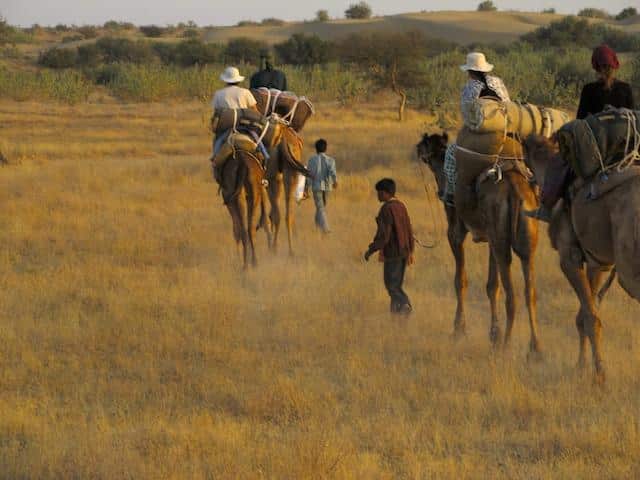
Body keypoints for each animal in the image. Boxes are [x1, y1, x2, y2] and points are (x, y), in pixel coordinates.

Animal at [418, 132, 544, 356]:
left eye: (426, 153)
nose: (441, 193)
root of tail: (515, 191)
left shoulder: (455, 231)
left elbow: (460, 280)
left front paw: (458, 330)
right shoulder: (490, 238)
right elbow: (492, 286)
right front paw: (493, 334)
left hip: (500, 236)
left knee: (512, 294)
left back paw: (507, 345)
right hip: (524, 233)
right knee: (529, 290)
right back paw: (534, 349)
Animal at [524, 136, 640, 382]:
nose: (524, 141)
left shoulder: (569, 257)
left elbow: (589, 317)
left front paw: (600, 375)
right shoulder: (598, 263)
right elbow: (583, 316)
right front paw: (581, 366)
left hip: (629, 268)